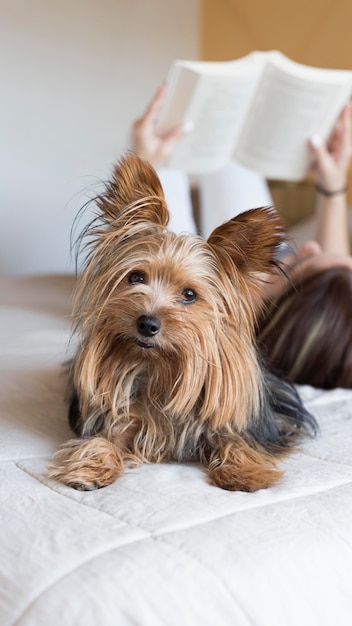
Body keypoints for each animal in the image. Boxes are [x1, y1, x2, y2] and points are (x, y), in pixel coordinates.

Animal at [48, 154, 316, 490]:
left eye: (189, 295)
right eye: (136, 277)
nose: (147, 324)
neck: (158, 368)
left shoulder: (236, 424)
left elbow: (235, 440)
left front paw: (245, 472)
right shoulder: (120, 420)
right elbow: (105, 439)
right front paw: (91, 467)